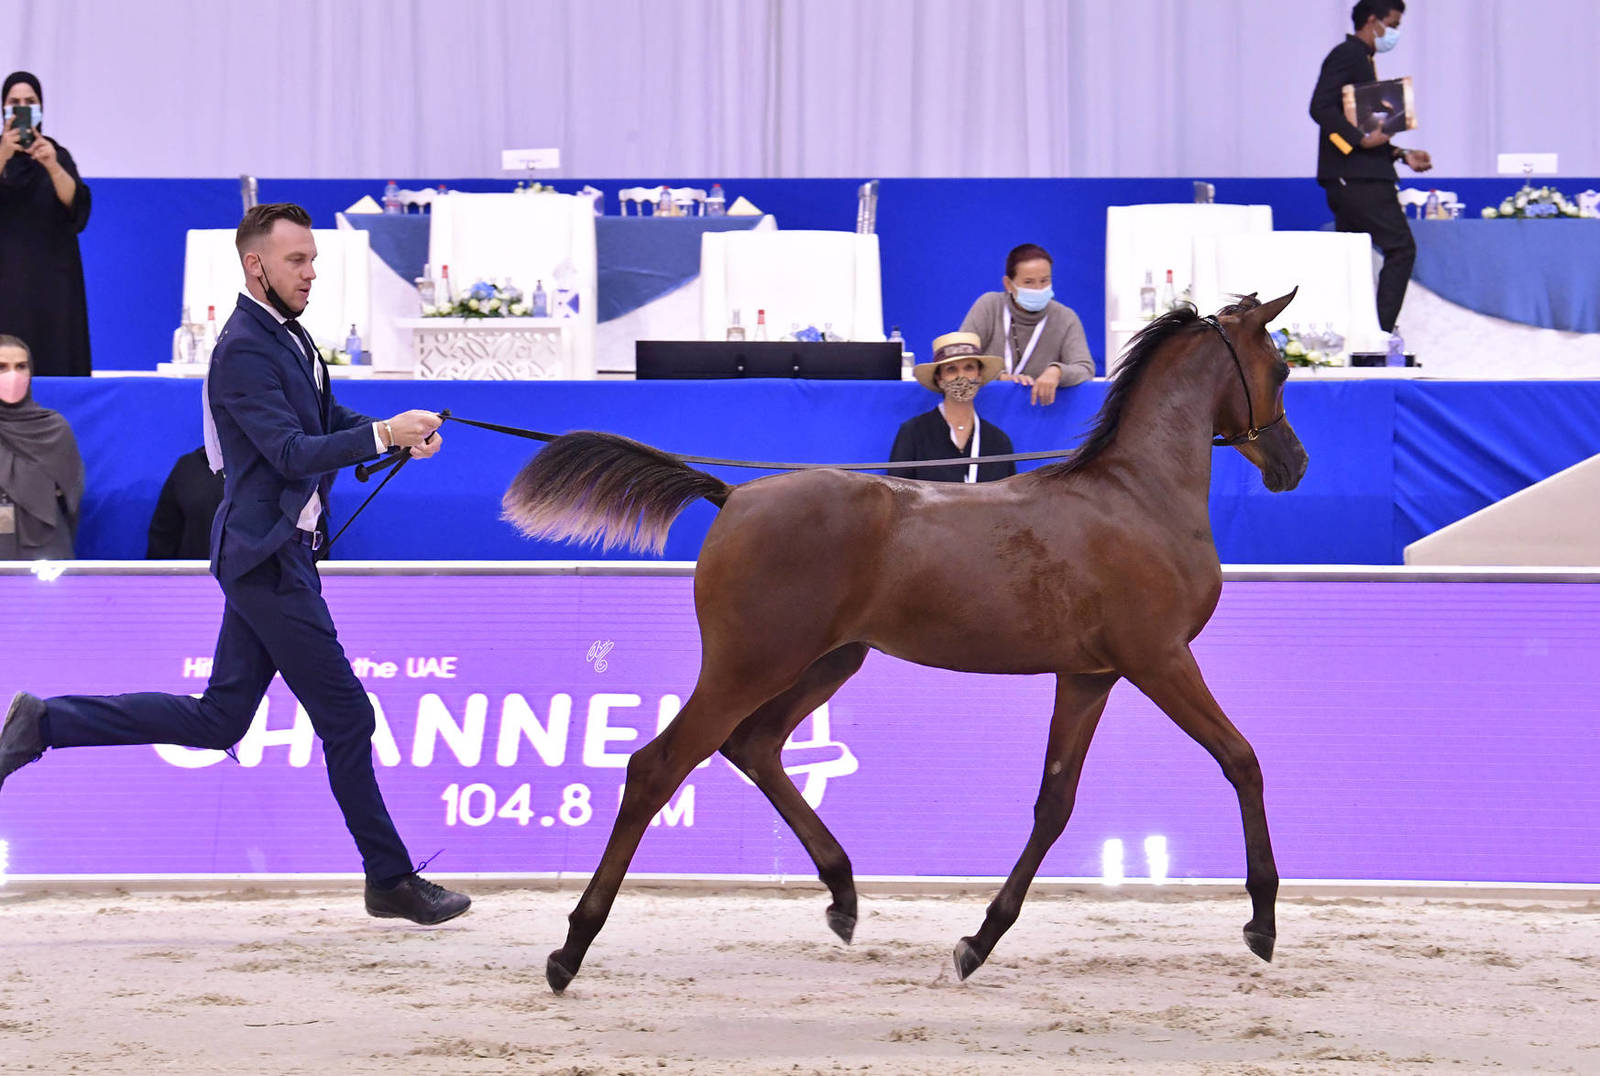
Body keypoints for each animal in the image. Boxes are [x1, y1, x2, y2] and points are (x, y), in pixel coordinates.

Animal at [503, 290, 1308, 995]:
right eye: (1282, 368)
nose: (1292, 464)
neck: (1136, 495)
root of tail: (733, 496)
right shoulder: (1159, 659)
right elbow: (1242, 760)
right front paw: (1263, 922)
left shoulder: (1090, 676)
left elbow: (1054, 803)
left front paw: (976, 943)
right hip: (751, 664)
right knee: (658, 767)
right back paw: (570, 949)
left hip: (828, 661)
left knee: (753, 746)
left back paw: (842, 895)